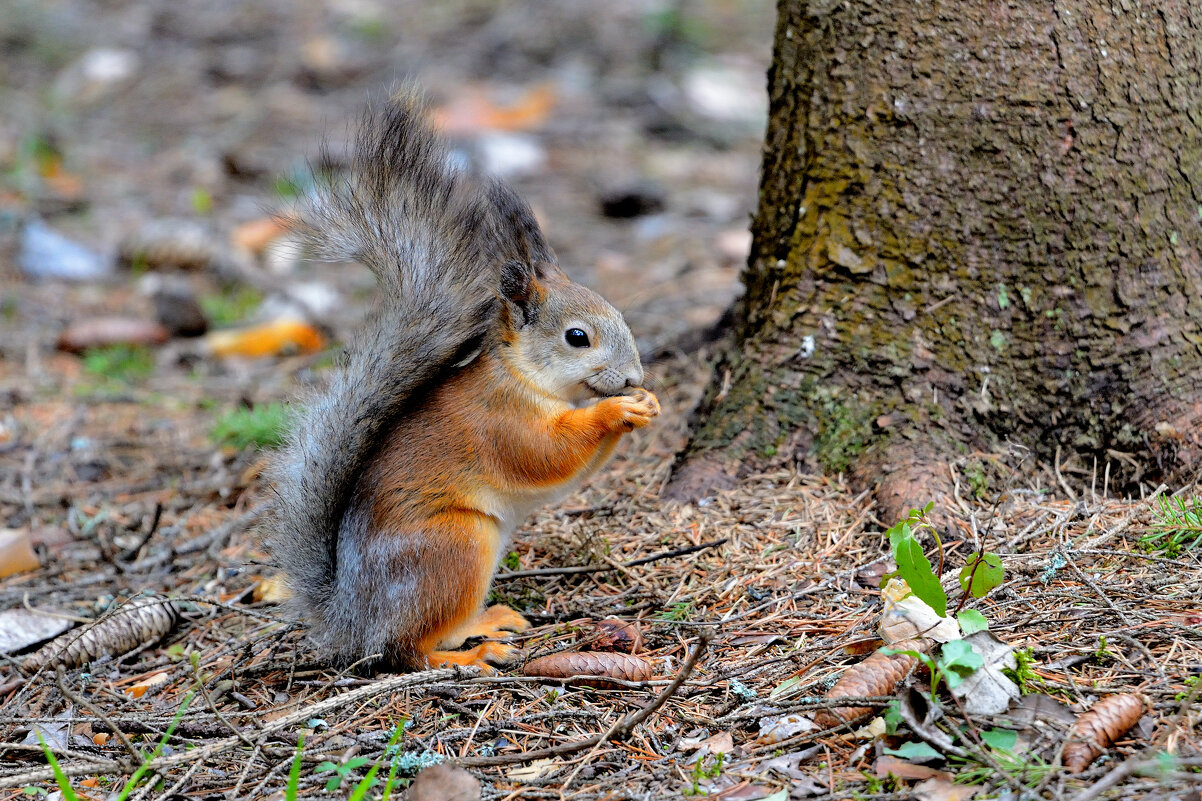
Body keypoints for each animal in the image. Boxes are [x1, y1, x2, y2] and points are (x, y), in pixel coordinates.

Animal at [268, 92, 663, 668]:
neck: (528, 379)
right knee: (406, 650)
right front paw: (615, 410)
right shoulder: (498, 422)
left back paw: (487, 622)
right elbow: (547, 456)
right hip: (455, 546)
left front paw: (646, 403)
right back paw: (468, 657)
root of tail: (350, 620)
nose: (635, 375)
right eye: (577, 337)